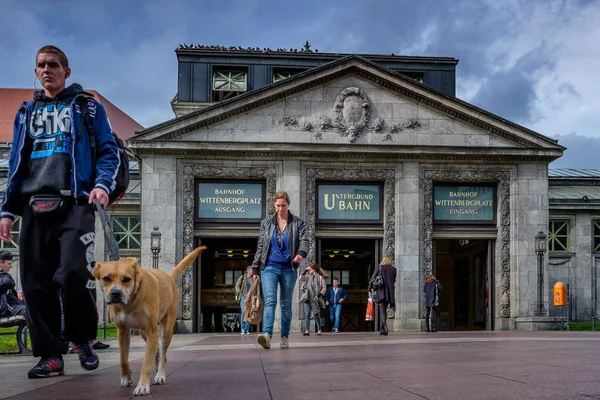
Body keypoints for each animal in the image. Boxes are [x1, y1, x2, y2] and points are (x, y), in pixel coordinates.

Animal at [92, 245, 206, 396]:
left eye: (127, 279)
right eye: (106, 278)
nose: (116, 293)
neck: (130, 301)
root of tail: (168, 276)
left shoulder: (152, 331)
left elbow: (146, 362)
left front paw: (142, 386)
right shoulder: (122, 331)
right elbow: (123, 358)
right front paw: (126, 378)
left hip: (166, 329)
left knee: (163, 352)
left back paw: (160, 375)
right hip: (143, 333)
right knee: (156, 349)